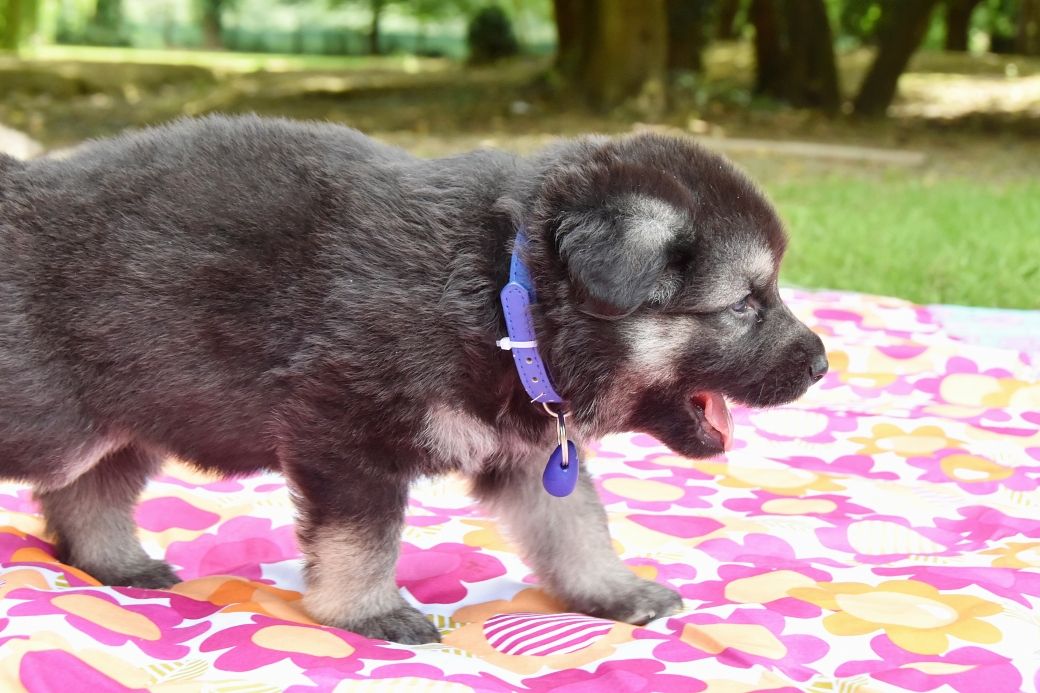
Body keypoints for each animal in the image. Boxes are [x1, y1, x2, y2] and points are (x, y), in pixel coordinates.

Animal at [0, 116, 827, 644]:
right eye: (746, 302)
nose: (822, 363)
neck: (506, 292)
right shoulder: (344, 433)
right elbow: (363, 538)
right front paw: (366, 613)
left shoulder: (527, 453)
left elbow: (576, 525)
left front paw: (614, 589)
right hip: (54, 419)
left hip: (124, 415)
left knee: (85, 497)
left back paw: (120, 564)